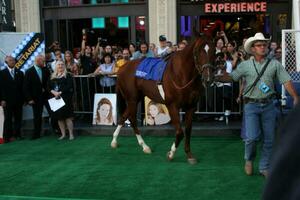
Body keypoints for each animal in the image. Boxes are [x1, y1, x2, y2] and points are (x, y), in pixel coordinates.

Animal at [111, 35, 214, 164]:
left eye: (213, 51)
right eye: (197, 51)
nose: (208, 78)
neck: (181, 74)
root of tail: (121, 69)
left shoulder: (191, 106)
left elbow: (188, 130)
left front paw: (189, 155)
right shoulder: (172, 106)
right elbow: (180, 132)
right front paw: (171, 154)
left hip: (136, 98)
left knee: (124, 116)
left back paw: (114, 141)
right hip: (132, 99)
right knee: (132, 119)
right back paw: (145, 146)